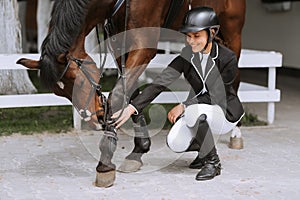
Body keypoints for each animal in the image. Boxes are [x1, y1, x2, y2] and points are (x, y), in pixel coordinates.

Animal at [17, 0, 246, 188]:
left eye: (79, 83)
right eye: (60, 92)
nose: (93, 118)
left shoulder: (143, 44)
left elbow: (118, 95)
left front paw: (106, 160)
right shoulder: (120, 43)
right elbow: (130, 93)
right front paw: (138, 150)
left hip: (232, 32)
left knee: (233, 78)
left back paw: (235, 133)